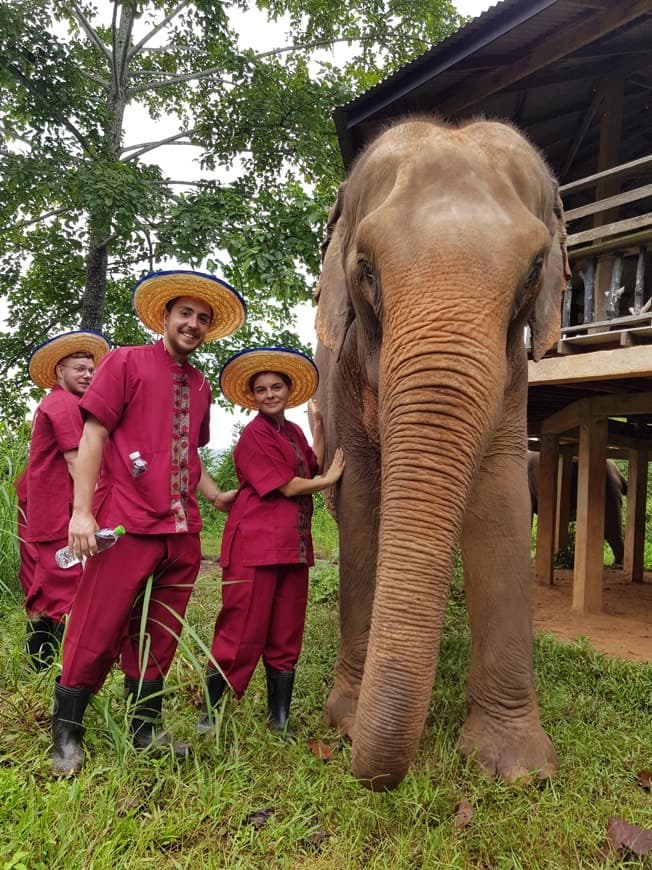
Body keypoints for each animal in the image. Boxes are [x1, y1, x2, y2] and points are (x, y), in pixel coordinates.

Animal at [314, 119, 568, 792]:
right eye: (366, 268)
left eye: (535, 268)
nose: (371, 778)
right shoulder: (348, 371)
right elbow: (363, 504)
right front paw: (346, 719)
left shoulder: (512, 377)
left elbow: (501, 500)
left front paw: (518, 770)